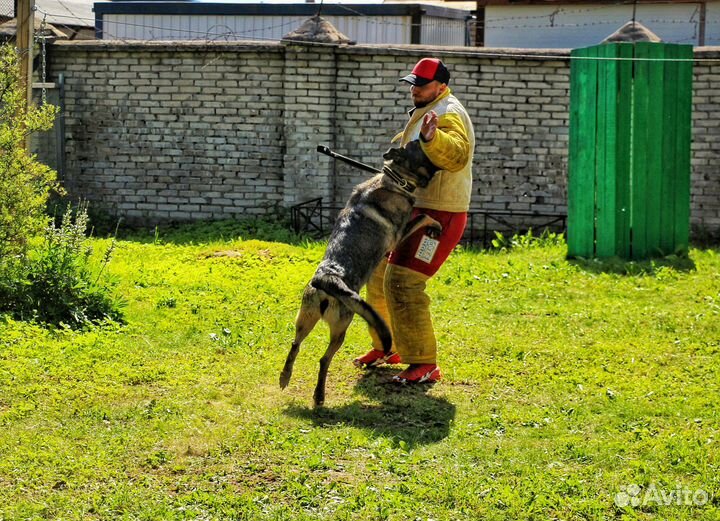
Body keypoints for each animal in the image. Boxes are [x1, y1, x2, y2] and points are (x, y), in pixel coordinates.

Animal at [278, 141, 442, 406]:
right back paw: (319, 396)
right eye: (420, 147)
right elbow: (425, 216)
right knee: (324, 359)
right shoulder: (400, 233)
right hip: (341, 327)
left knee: (295, 345)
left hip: (305, 319)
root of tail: (328, 277)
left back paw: (285, 377)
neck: (395, 179)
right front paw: (436, 225)